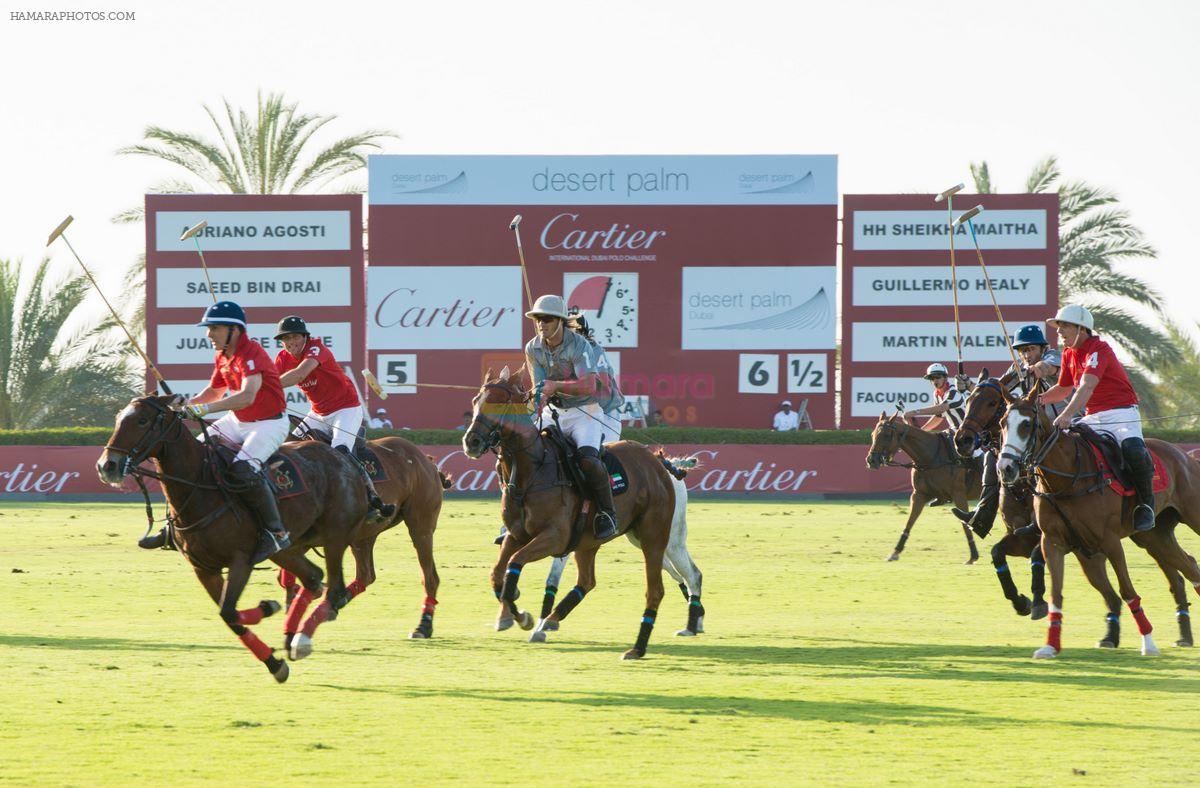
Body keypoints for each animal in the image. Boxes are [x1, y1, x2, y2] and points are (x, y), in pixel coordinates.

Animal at [97, 395, 379, 681]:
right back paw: (292, 634)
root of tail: (345, 458)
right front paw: (275, 663)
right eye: (119, 418)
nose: (107, 465)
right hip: (290, 546)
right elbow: (229, 617)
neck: (200, 489)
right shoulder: (203, 569)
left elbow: (229, 611)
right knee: (313, 578)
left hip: (335, 535)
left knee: (335, 592)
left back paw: (301, 641)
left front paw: (269, 608)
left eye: (142, 420)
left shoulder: (240, 560)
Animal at [282, 417, 451, 638]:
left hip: (421, 525)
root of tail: (426, 459)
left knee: (430, 577)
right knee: (366, 574)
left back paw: (423, 625)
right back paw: (332, 605)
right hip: (364, 536)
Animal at [458, 367, 700, 657]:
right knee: (588, 581)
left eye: (500, 402)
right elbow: (498, 573)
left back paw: (649, 643)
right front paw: (513, 615)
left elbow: (515, 565)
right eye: (475, 400)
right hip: (597, 541)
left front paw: (523, 616)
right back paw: (550, 622)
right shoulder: (517, 535)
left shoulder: (555, 537)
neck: (533, 472)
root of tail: (660, 462)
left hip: (658, 536)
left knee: (674, 581)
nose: (471, 442)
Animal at [868, 412, 979, 566]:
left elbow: (965, 524)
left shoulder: (959, 494)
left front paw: (973, 555)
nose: (871, 460)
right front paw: (895, 552)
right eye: (872, 434)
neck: (931, 457)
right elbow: (909, 522)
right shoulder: (919, 495)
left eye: (886, 435)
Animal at [955, 374, 1190, 647]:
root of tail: (1180, 453)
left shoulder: (1052, 538)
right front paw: (1021, 601)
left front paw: (1037, 602)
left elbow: (1036, 557)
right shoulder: (1033, 536)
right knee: (1178, 572)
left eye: (992, 403)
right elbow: (997, 553)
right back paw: (1179, 634)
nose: (962, 440)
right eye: (968, 400)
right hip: (1150, 535)